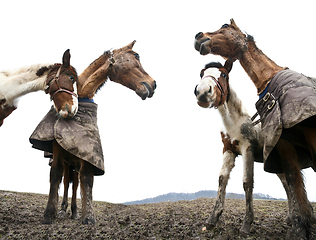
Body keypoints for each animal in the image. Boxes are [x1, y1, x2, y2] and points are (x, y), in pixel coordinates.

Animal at [30, 40, 156, 225]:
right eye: (136, 56)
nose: (153, 84)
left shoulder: (87, 153)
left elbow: (87, 179)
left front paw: (88, 217)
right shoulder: (59, 150)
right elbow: (56, 175)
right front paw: (49, 214)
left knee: (75, 183)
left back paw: (74, 211)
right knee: (67, 182)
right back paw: (63, 210)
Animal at [195, 19, 316, 239]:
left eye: (223, 74)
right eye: (201, 74)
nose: (202, 93)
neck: (236, 122)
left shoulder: (247, 149)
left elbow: (247, 183)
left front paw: (246, 225)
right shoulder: (229, 150)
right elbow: (221, 180)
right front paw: (211, 220)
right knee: (287, 182)